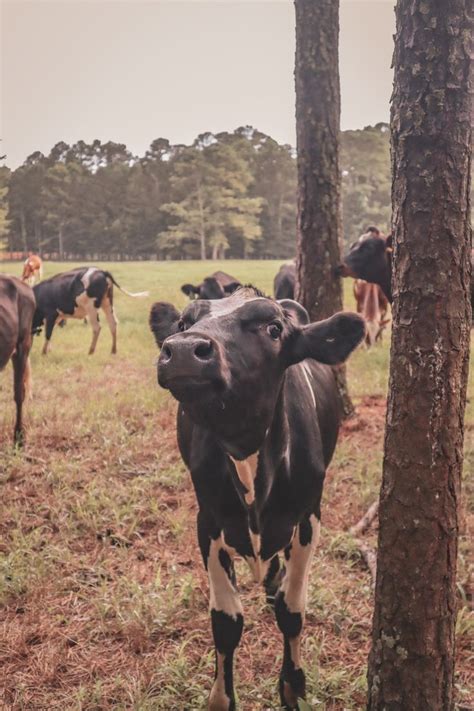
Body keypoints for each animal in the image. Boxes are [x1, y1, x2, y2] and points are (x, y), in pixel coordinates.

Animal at [149, 287, 365, 710]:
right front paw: (221, 698)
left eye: (274, 328)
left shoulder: (308, 515)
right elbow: (225, 620)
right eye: (183, 322)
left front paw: (292, 685)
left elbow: (292, 610)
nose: (182, 350)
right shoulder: (208, 519)